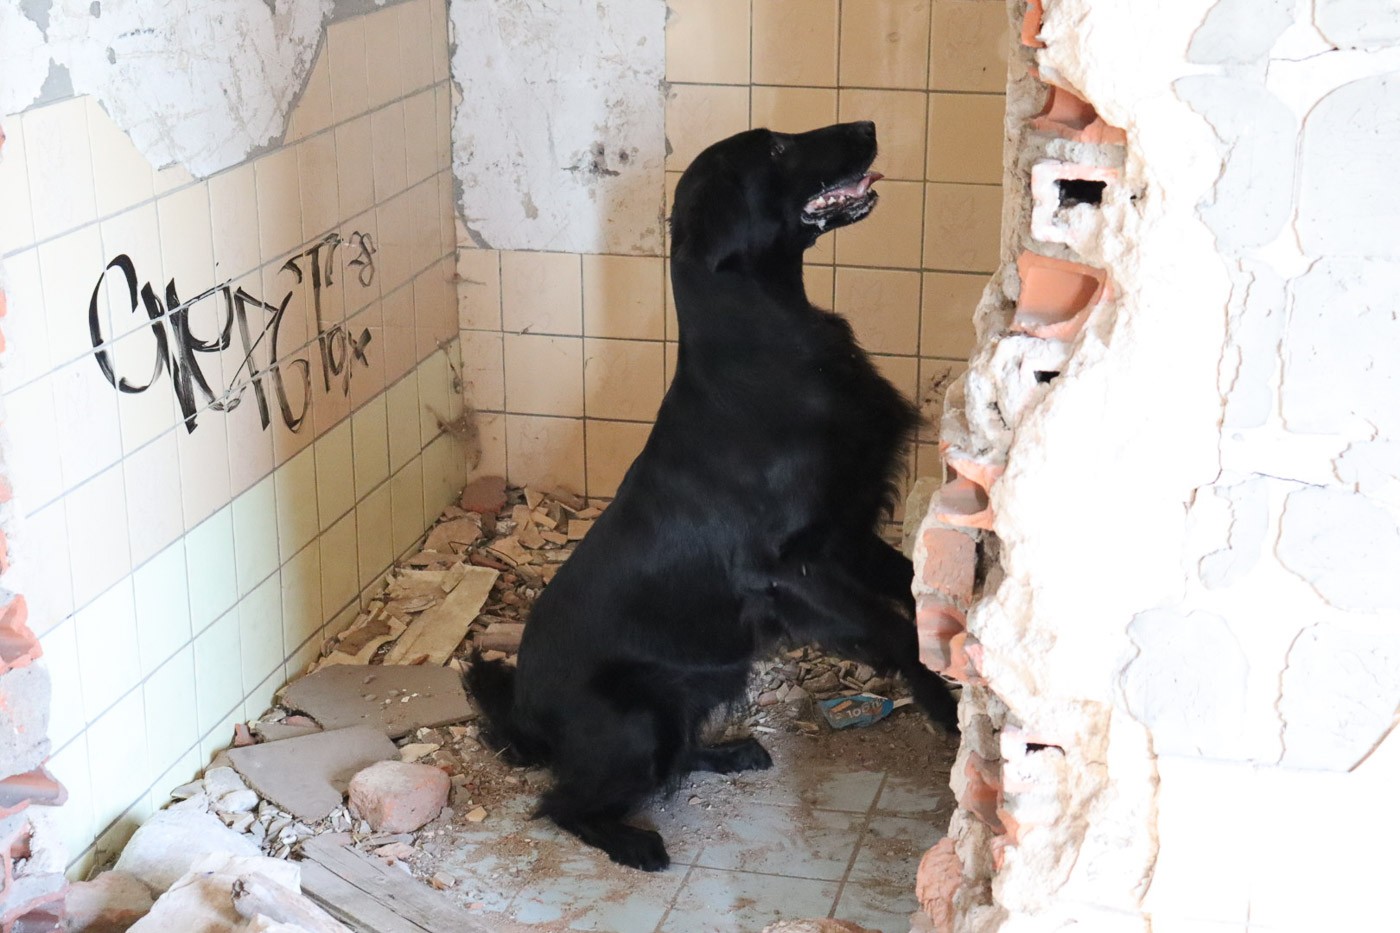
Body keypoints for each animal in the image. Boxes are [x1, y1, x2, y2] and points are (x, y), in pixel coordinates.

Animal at [468, 121, 959, 872]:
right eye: (777, 149)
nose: (868, 127)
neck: (771, 341)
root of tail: (526, 713)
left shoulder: (846, 533)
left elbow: (908, 589)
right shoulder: (791, 569)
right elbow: (894, 630)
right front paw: (946, 708)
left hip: (701, 687)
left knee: (674, 760)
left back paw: (732, 752)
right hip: (638, 720)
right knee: (565, 803)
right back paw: (635, 842)